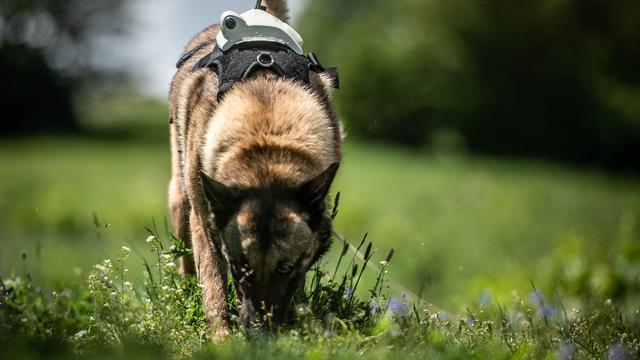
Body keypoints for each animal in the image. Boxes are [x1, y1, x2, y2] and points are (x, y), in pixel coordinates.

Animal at [168, 0, 342, 338]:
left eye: (285, 268)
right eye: (240, 266)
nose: (259, 336)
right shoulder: (205, 222)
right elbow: (214, 288)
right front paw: (222, 338)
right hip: (181, 201)